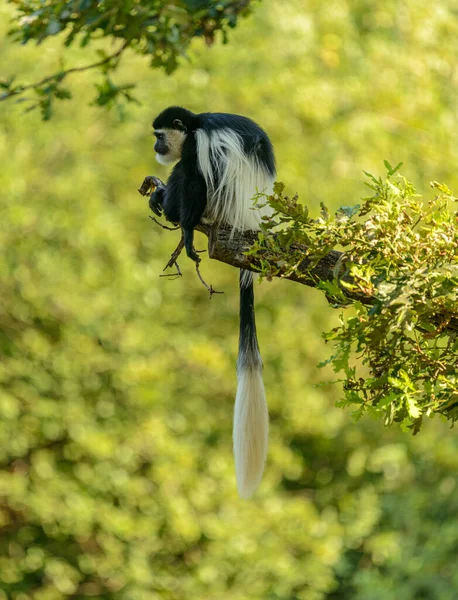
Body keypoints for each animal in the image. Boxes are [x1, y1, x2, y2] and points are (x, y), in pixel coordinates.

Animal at [150, 106, 276, 496]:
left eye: (160, 135)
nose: (157, 147)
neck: (194, 126)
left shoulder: (201, 144)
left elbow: (194, 175)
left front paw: (186, 228)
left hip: (222, 201)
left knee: (191, 174)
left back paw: (172, 208)